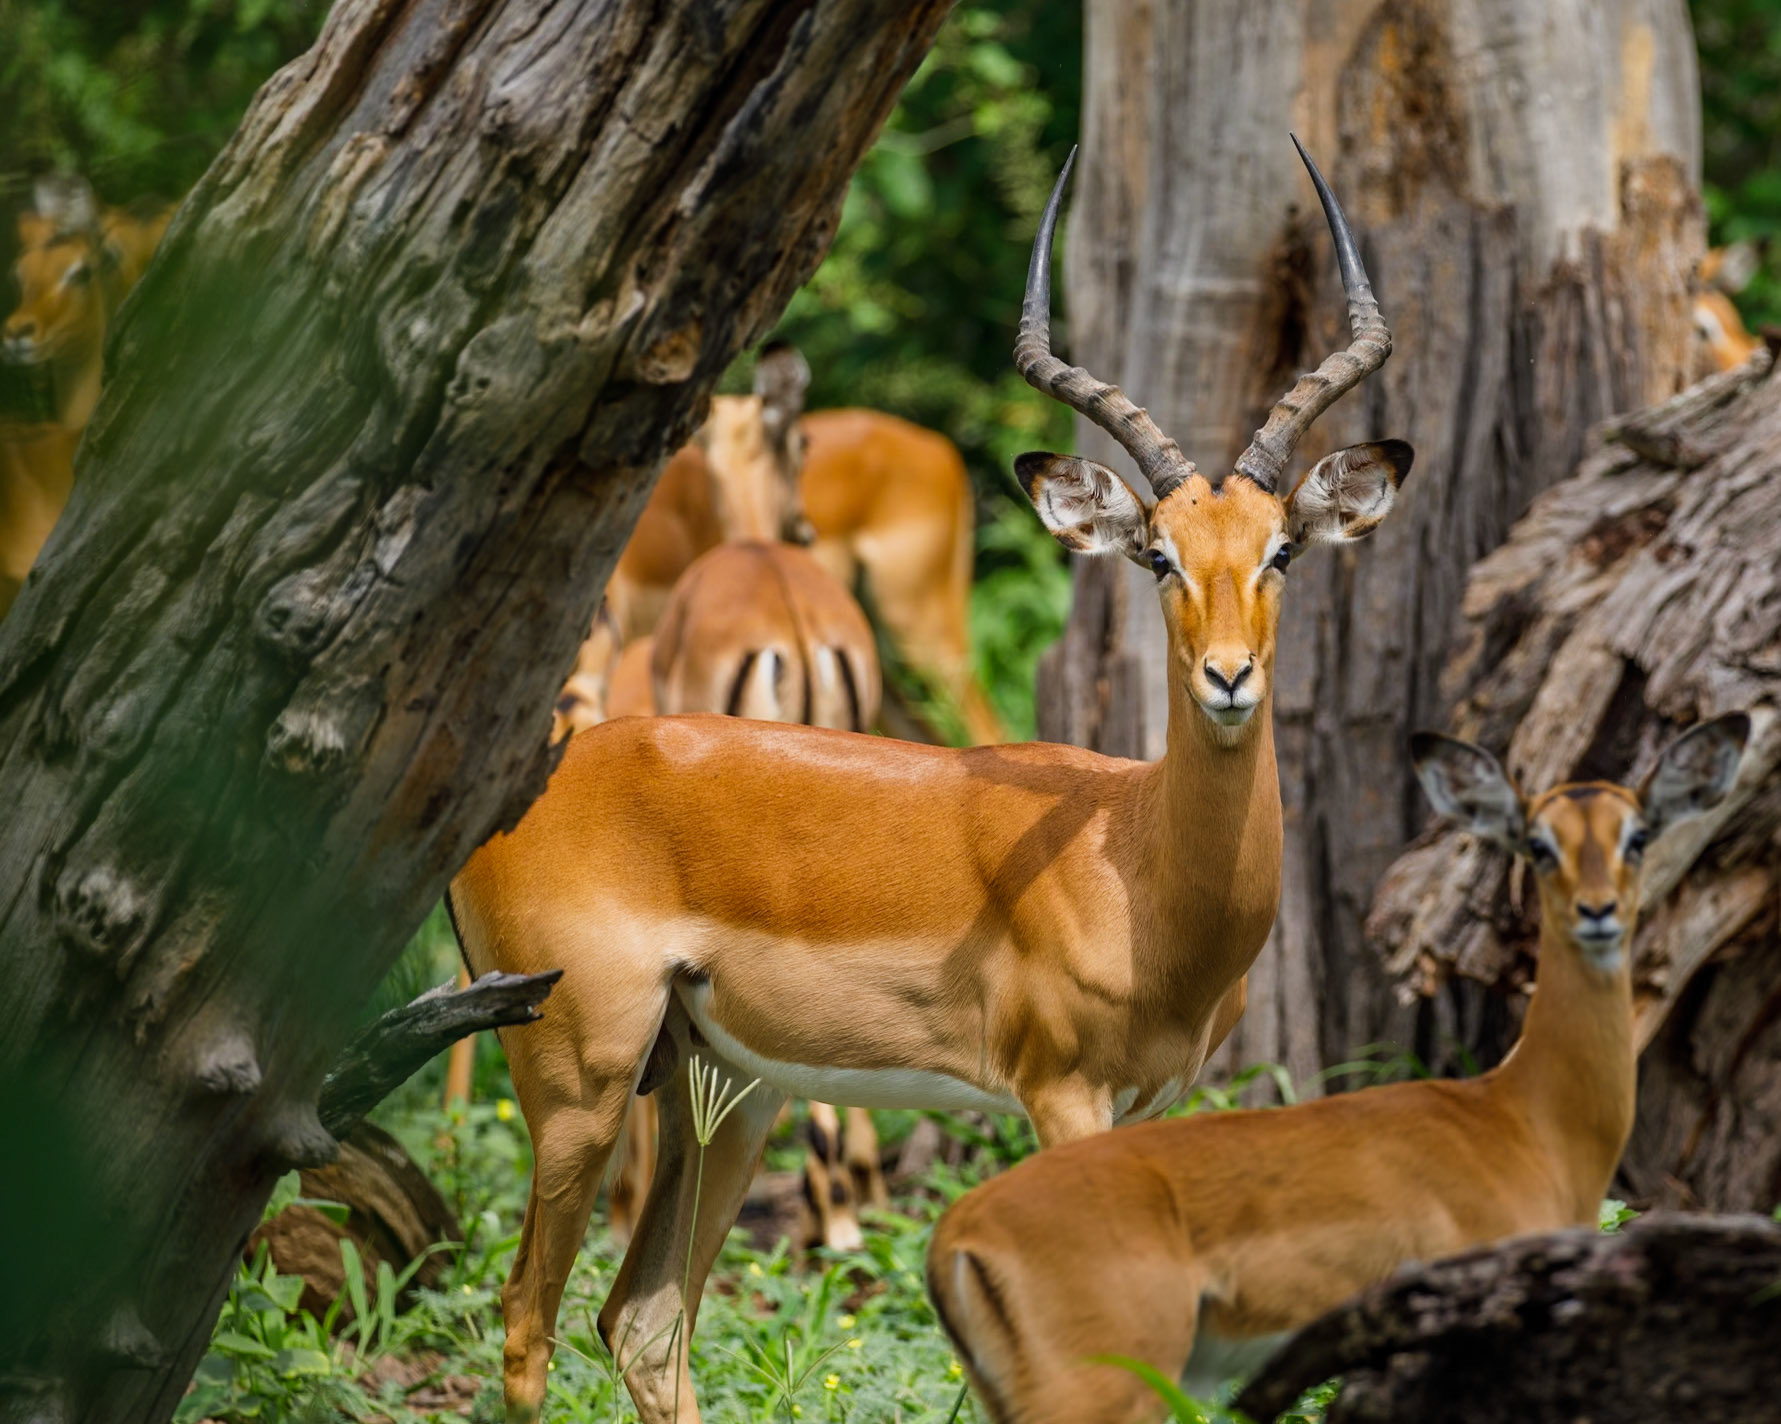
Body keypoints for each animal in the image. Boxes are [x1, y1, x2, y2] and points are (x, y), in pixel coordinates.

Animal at [448, 137, 1413, 1424]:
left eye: (1281, 550)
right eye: (1157, 553)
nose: (1226, 677)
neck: (1133, 857)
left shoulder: (1148, 1107)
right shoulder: (1060, 1094)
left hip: (723, 1090)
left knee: (643, 1321)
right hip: (579, 1081)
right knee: (525, 1325)